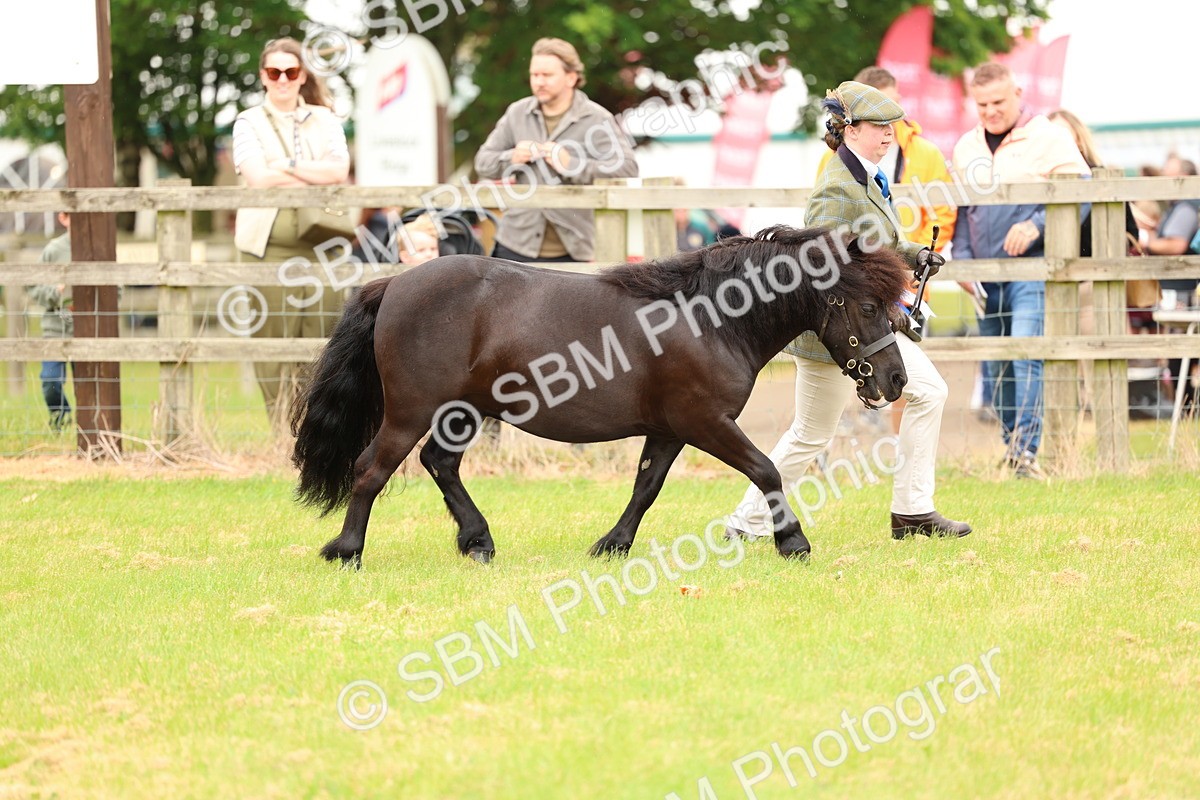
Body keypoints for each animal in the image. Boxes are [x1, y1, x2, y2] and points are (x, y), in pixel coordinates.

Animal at [291, 225, 910, 566]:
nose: (897, 380)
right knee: (371, 468)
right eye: (870, 305)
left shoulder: (667, 431)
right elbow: (767, 470)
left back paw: (477, 540)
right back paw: (346, 550)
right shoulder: (706, 423)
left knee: (439, 463)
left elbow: (646, 488)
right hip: (412, 411)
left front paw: (612, 543)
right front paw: (793, 541)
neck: (710, 319)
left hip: (459, 413)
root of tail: (393, 283)